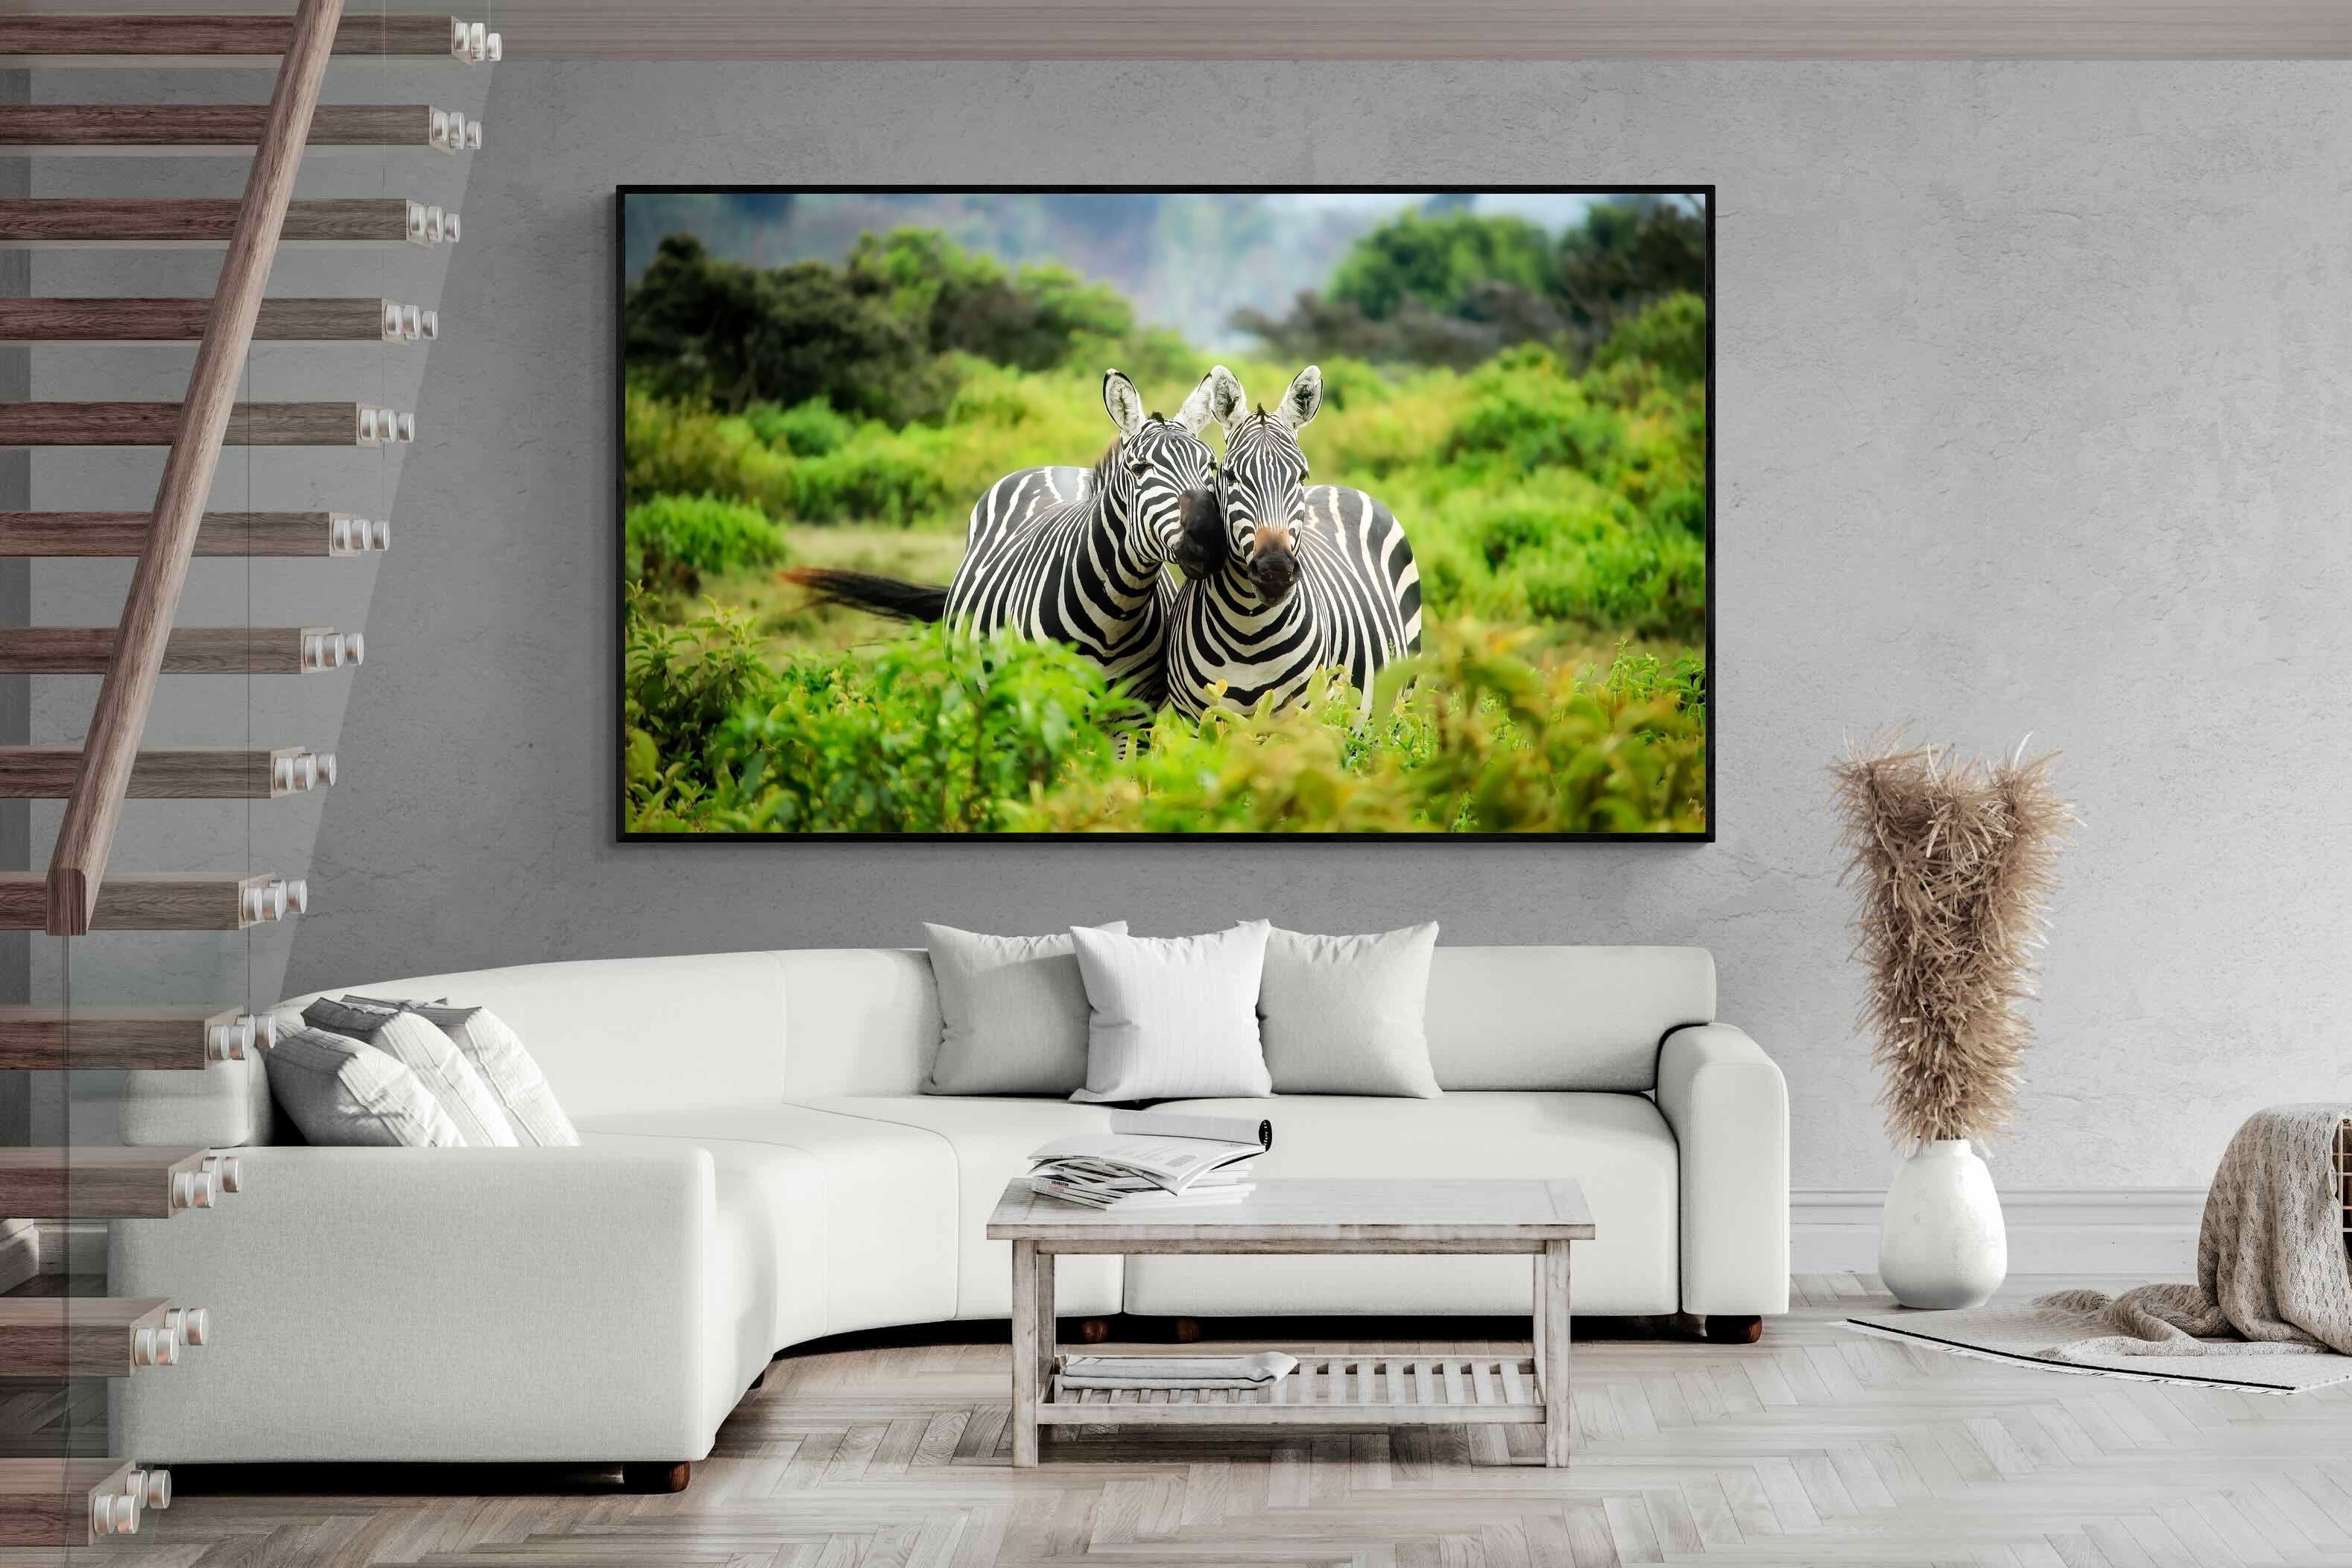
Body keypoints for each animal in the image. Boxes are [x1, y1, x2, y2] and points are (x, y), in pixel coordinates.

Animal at [785, 367, 1242, 709]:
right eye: (1140, 468)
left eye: (1211, 467)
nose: (1209, 542)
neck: (1115, 614)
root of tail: (1055, 468)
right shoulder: (1043, 703)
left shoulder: (1133, 716)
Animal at [1163, 365, 1424, 720]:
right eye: (1230, 476)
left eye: (1301, 476)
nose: (1275, 571)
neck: (1248, 632)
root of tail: (1340, 487)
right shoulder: (1197, 721)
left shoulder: (1302, 718)